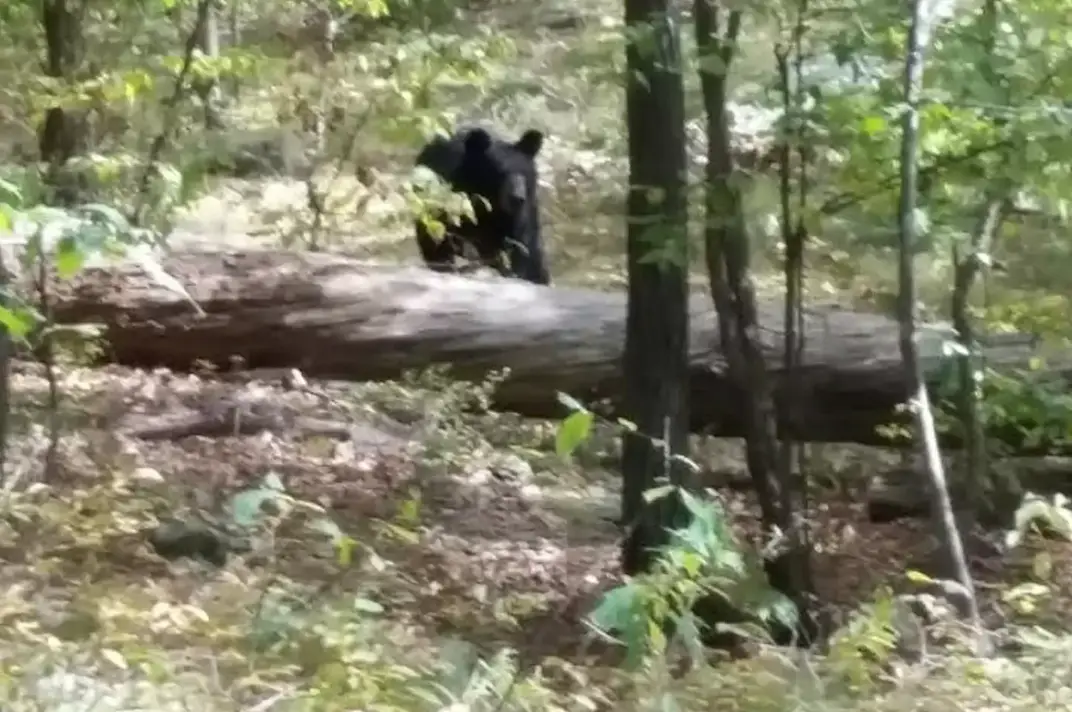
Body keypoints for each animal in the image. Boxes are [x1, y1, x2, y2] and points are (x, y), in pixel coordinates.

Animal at [411, 126, 551, 285]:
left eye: (523, 172)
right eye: (500, 173)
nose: (517, 198)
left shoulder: (518, 216)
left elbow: (522, 246)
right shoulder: (451, 199)